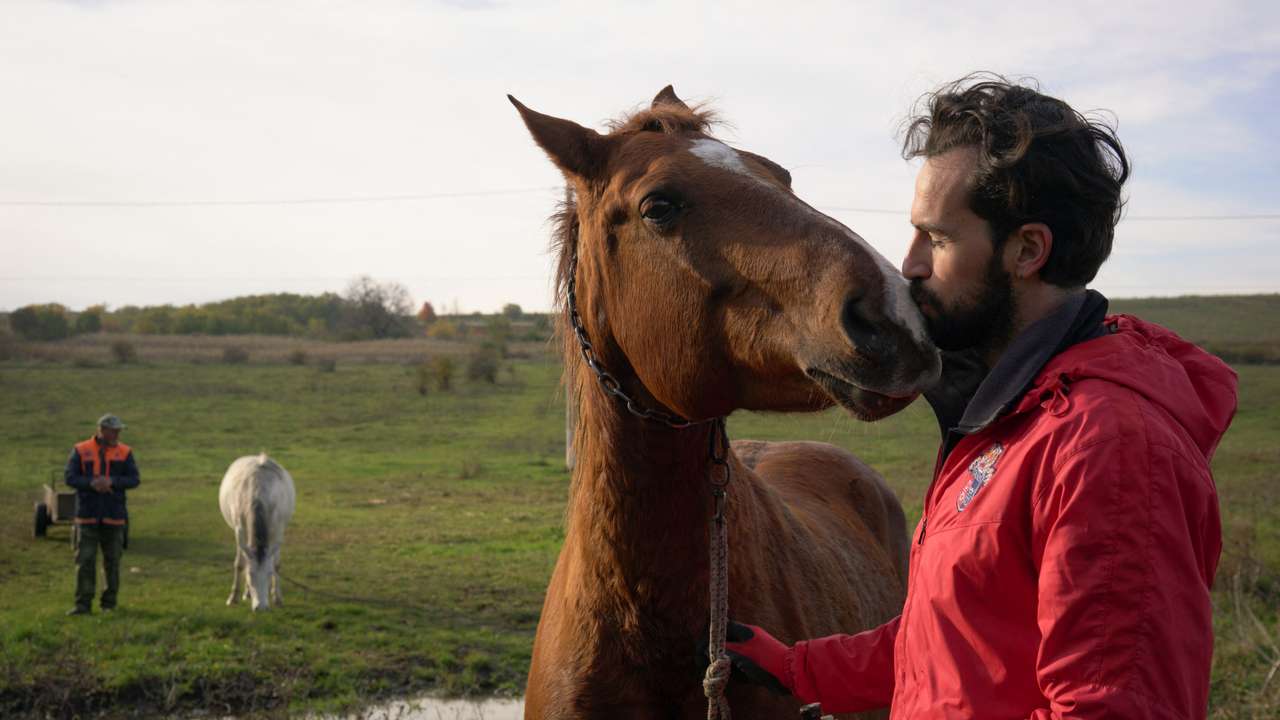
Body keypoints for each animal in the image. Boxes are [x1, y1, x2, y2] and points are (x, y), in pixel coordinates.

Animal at [218, 453, 296, 612]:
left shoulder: (277, 528)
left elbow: (276, 564)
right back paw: (246, 593)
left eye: (269, 574)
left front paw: (277, 598)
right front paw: (233, 597)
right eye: (250, 574)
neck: (258, 495)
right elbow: (240, 563)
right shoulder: (239, 528)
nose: (261, 608)